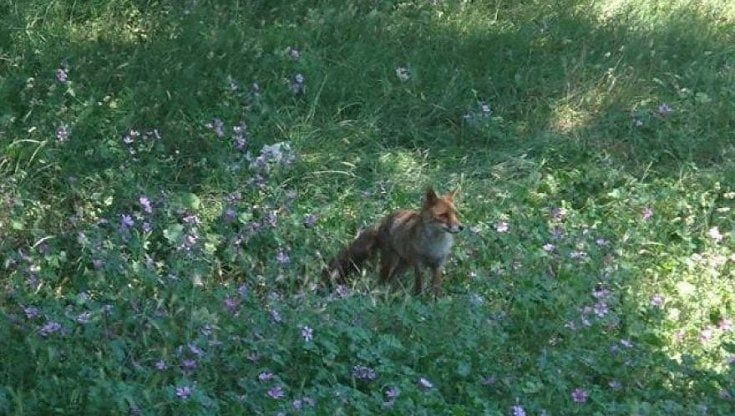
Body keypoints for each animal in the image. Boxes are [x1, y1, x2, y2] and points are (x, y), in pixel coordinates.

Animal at [324, 187, 463, 296]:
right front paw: (419, 299)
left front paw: (435, 303)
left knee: (391, 280)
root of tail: (383, 220)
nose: (461, 227)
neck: (434, 246)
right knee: (383, 280)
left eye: (455, 214)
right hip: (391, 262)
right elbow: (419, 287)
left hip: (403, 265)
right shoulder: (419, 266)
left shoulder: (438, 265)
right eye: (443, 215)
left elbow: (437, 289)